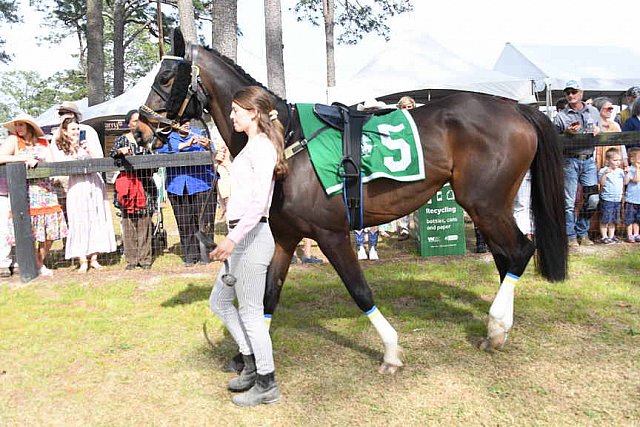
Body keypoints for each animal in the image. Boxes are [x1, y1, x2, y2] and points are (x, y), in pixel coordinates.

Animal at [138, 30, 568, 374]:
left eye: (165, 77)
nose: (139, 128)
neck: (286, 142)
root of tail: (518, 107)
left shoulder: (331, 234)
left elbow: (359, 290)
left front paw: (391, 352)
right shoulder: (286, 237)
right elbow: (269, 295)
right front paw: (254, 359)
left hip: (485, 204)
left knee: (520, 250)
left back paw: (496, 327)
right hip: (489, 207)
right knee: (506, 257)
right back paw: (500, 327)